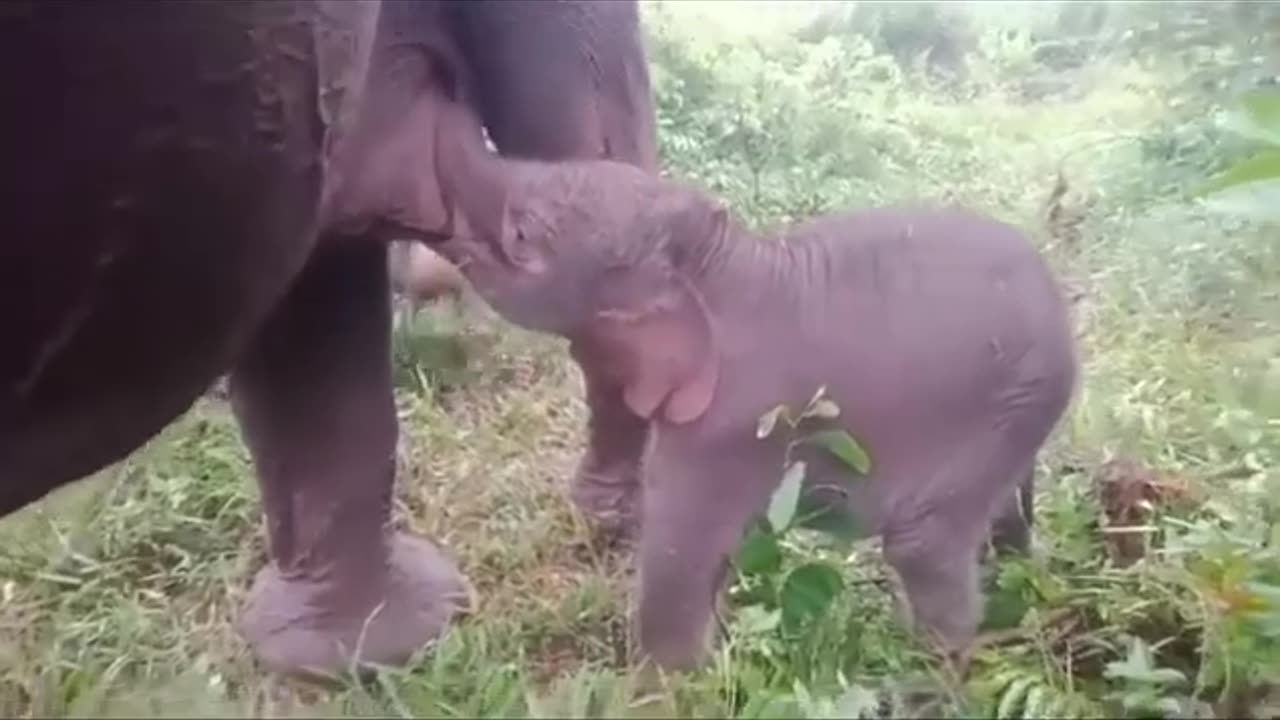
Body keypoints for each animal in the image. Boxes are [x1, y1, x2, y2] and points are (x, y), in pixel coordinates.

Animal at [424, 101, 1079, 672]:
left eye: (523, 235)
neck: (719, 261)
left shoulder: (726, 426)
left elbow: (679, 559)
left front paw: (664, 686)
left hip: (1016, 396)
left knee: (923, 544)